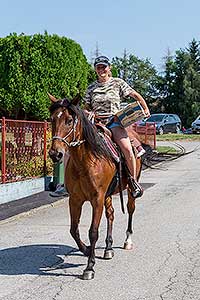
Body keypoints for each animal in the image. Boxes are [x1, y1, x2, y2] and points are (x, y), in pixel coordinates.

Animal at [48, 95, 144, 280]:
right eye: (52, 120)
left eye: (69, 120)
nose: (55, 154)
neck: (85, 161)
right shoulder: (75, 200)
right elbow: (74, 230)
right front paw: (86, 250)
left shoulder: (96, 199)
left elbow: (93, 231)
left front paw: (89, 267)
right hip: (107, 195)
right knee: (111, 215)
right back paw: (108, 248)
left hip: (129, 189)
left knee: (130, 209)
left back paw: (127, 240)